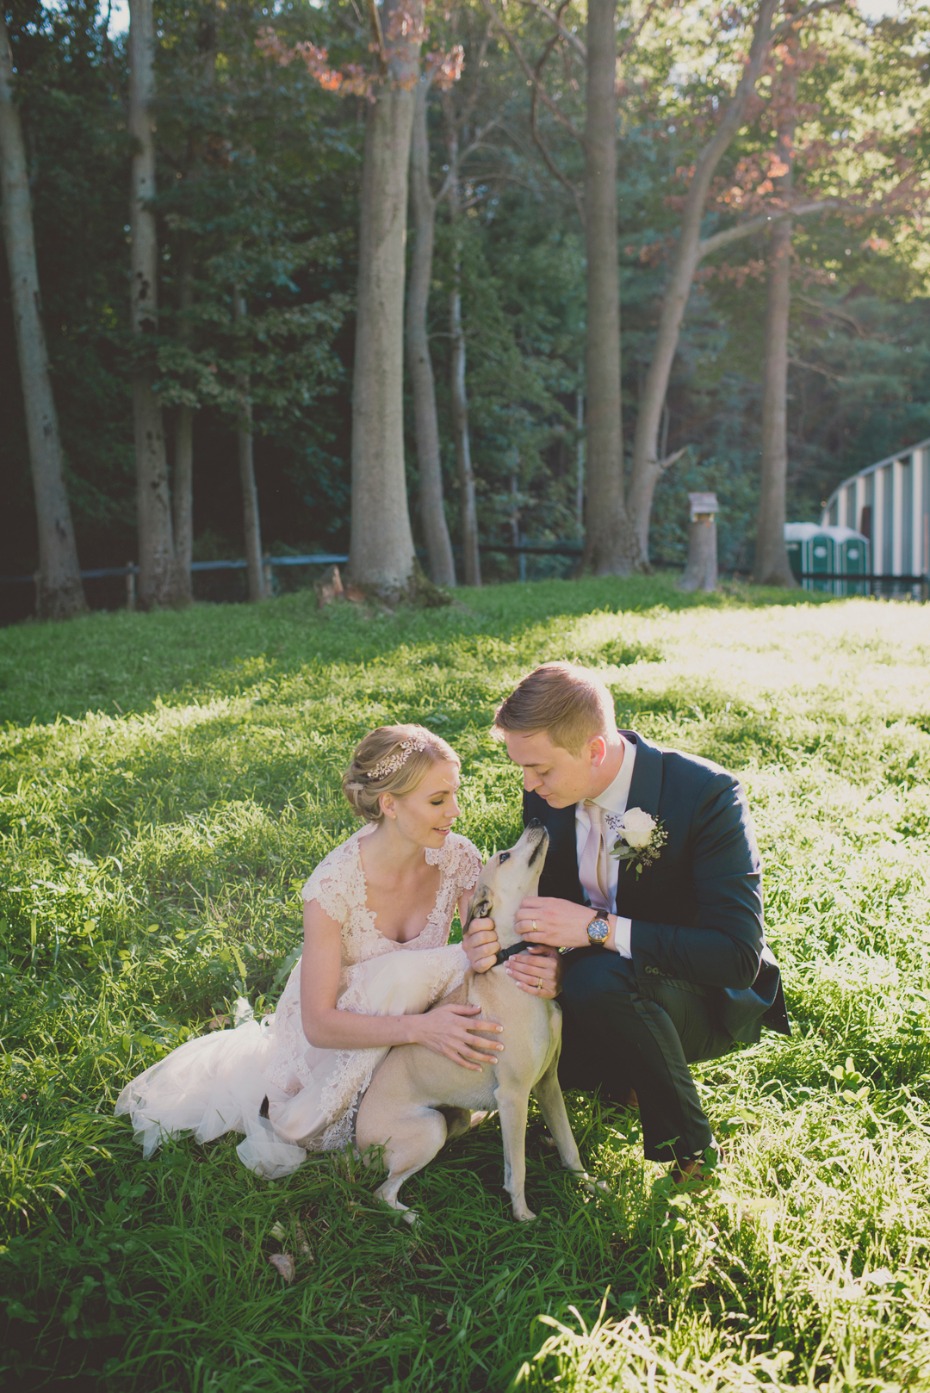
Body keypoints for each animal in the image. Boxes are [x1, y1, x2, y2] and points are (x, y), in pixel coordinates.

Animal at [356, 819, 587, 1225]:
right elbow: (517, 1167)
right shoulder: (514, 1095)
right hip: (429, 1130)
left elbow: (568, 1143)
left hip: (454, 1121)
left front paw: (591, 1187)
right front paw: (523, 1216)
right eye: (505, 856)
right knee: (382, 1192)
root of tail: (354, 1147)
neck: (510, 963)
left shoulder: (548, 1083)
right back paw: (413, 1218)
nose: (536, 821)